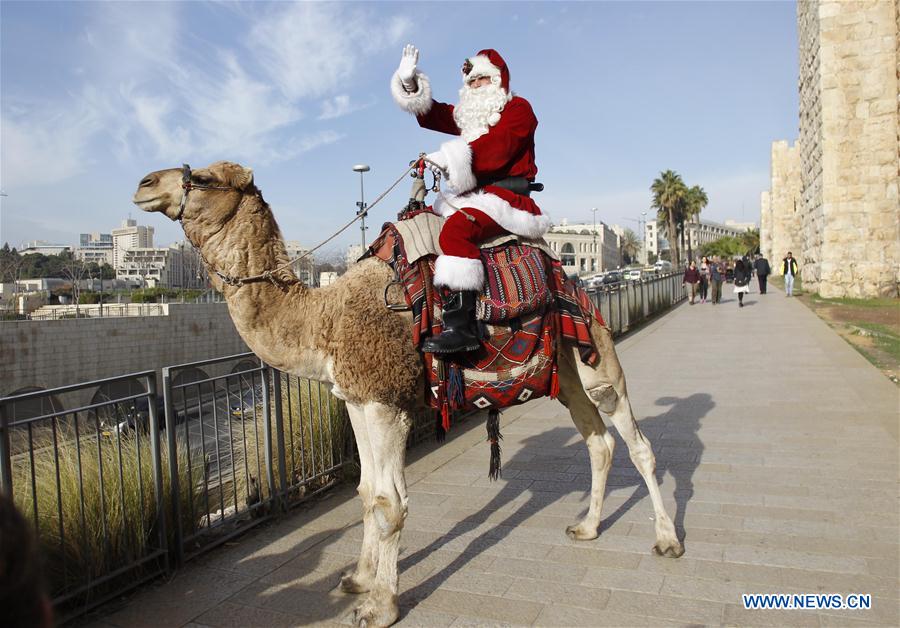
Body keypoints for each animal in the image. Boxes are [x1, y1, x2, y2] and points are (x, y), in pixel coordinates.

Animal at [132, 162, 684, 628]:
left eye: (203, 178)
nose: (144, 184)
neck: (322, 318)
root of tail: (571, 273)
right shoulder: (356, 399)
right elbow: (364, 491)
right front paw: (358, 579)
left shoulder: (387, 404)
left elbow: (388, 503)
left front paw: (380, 606)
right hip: (565, 368)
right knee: (598, 440)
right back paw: (587, 527)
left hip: (595, 350)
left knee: (636, 441)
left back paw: (667, 541)